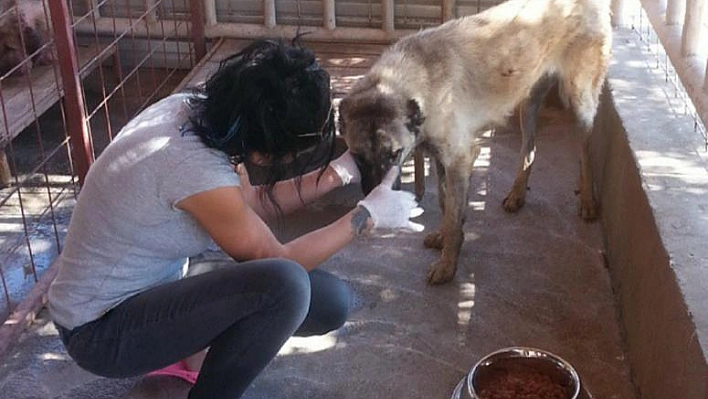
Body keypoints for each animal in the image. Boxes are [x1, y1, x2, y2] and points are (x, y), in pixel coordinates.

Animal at [340, 0, 612, 286]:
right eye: (357, 156)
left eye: (394, 154)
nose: (374, 198)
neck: (420, 78)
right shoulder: (442, 159)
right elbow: (446, 204)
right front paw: (446, 238)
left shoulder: (459, 159)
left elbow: (452, 213)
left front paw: (447, 265)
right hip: (528, 104)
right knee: (530, 147)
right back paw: (517, 194)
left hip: (579, 102)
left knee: (585, 152)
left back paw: (588, 201)